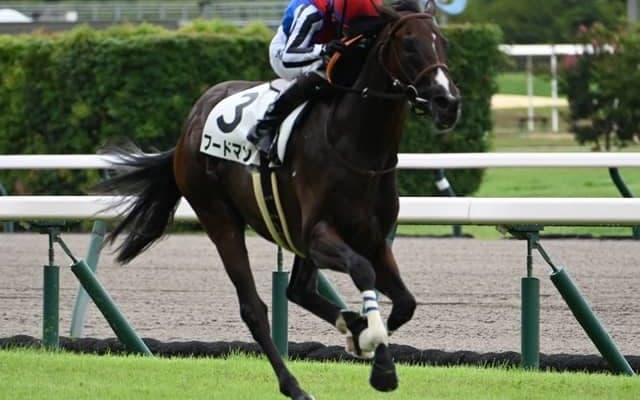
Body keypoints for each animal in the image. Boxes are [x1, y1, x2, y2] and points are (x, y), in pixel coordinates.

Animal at [99, 1, 460, 398]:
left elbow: (406, 302)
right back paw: (294, 384)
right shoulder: (319, 235)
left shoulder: (372, 238)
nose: (448, 102)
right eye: (409, 45)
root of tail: (188, 127)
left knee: (298, 290)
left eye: (442, 42)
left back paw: (348, 325)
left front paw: (366, 339)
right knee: (253, 307)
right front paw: (379, 363)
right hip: (219, 218)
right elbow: (362, 270)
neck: (358, 148)